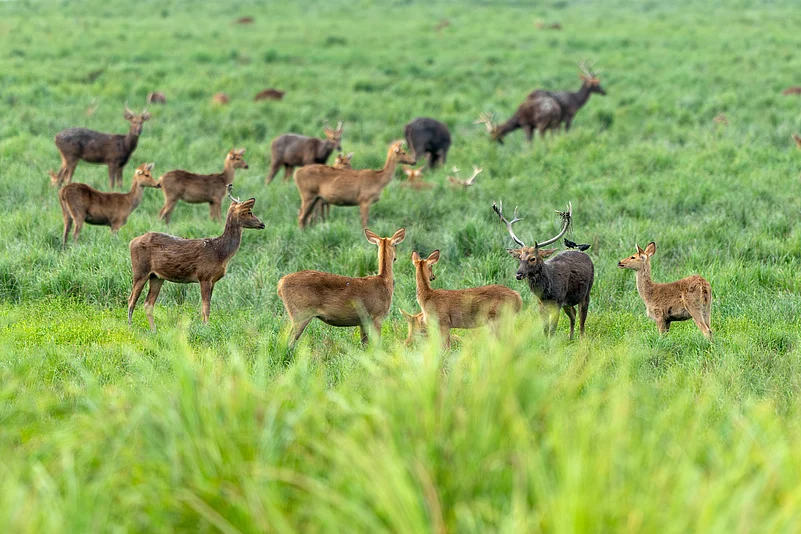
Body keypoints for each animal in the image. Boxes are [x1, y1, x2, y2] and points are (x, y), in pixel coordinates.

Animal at [128, 186, 265, 331]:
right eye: (248, 212)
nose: (262, 224)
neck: (220, 252)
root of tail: (132, 242)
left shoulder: (212, 280)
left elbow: (206, 307)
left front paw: (204, 327)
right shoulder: (204, 276)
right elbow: (206, 308)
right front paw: (206, 329)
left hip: (156, 276)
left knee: (148, 304)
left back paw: (153, 330)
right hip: (140, 270)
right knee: (131, 300)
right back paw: (130, 327)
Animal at [277, 228, 406, 345]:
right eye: (395, 245)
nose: (395, 258)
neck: (384, 281)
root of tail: (280, 284)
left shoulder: (363, 321)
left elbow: (364, 344)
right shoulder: (377, 315)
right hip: (300, 313)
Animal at [494, 201, 594, 339]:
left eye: (533, 258)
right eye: (520, 257)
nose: (519, 274)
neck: (546, 292)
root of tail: (585, 255)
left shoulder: (557, 302)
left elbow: (552, 330)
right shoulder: (540, 305)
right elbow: (545, 330)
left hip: (586, 292)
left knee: (582, 320)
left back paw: (581, 339)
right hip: (568, 301)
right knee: (573, 314)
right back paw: (570, 338)